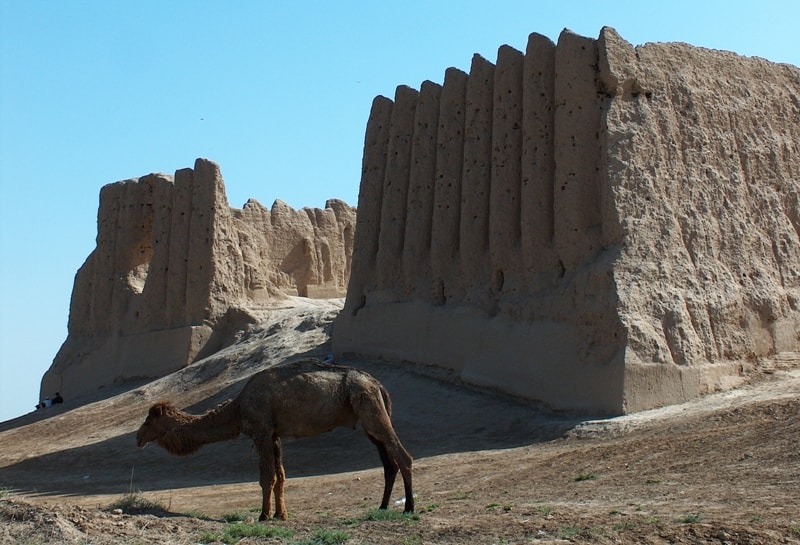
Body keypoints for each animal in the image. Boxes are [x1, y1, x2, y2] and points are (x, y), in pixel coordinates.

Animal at [134, 356, 412, 520]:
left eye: (148, 420)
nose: (138, 437)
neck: (238, 409)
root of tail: (378, 384)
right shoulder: (274, 435)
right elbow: (280, 475)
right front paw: (281, 515)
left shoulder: (261, 432)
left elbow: (266, 477)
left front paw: (264, 516)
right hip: (369, 419)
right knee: (389, 462)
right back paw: (383, 507)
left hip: (370, 407)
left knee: (402, 456)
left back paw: (409, 507)